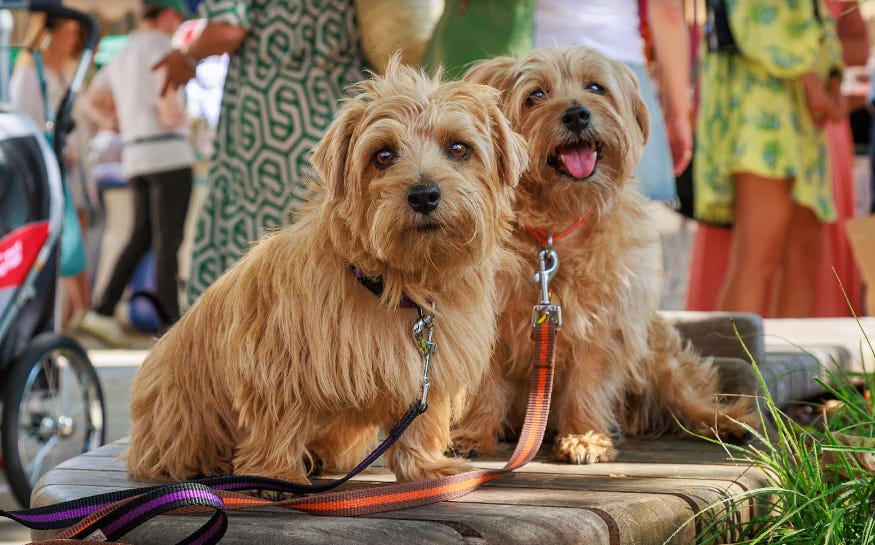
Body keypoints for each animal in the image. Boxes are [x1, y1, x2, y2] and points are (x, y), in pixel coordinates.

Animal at [127, 60, 532, 484]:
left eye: (458, 148)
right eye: (383, 155)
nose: (424, 195)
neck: (397, 286)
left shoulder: (428, 374)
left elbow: (421, 422)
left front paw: (425, 466)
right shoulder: (277, 364)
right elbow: (279, 421)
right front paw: (277, 475)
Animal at [452, 45, 752, 464]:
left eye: (595, 87)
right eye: (535, 95)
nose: (578, 113)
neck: (554, 231)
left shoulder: (604, 324)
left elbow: (588, 382)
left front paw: (584, 436)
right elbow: (485, 381)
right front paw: (474, 432)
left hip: (659, 353)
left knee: (688, 395)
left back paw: (724, 421)